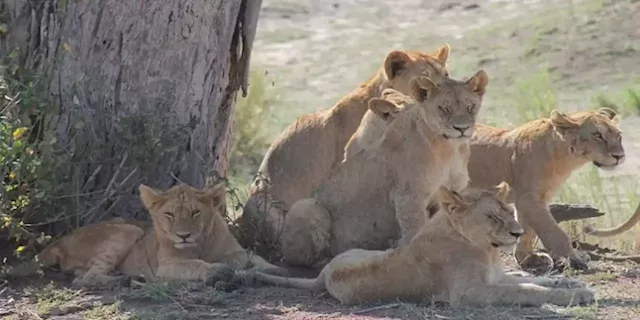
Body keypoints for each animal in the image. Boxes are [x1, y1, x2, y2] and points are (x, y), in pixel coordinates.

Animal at [5, 182, 288, 288]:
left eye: (196, 212)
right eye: (170, 214)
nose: (184, 236)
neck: (201, 243)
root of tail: (60, 241)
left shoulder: (235, 253)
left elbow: (255, 259)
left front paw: (275, 269)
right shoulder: (168, 265)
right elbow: (196, 265)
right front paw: (218, 272)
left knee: (79, 276)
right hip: (128, 229)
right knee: (85, 279)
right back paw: (124, 281)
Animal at [244, 181, 596, 306]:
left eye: (510, 212)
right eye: (492, 217)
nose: (518, 233)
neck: (486, 251)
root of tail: (324, 273)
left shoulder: (495, 277)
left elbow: (531, 281)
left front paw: (572, 284)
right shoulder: (469, 294)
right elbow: (529, 291)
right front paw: (573, 295)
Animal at [278, 70, 488, 268]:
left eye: (471, 106)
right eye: (444, 108)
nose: (462, 128)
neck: (451, 150)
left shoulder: (447, 194)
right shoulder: (408, 195)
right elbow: (415, 229)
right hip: (306, 206)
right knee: (296, 258)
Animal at [464, 107, 624, 270]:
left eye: (618, 135)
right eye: (597, 135)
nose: (619, 156)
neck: (564, 158)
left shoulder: (533, 198)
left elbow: (526, 230)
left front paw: (528, 258)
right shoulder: (530, 199)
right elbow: (554, 232)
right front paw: (574, 259)